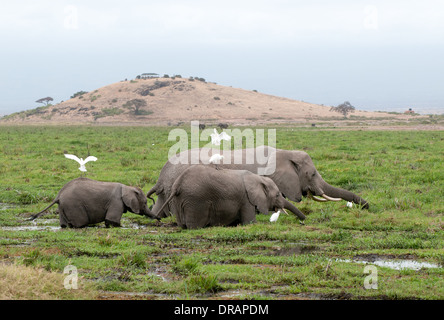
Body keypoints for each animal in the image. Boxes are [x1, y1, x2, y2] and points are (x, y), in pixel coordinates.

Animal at [156, 164, 306, 229]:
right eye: (277, 195)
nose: (303, 220)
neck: (257, 178)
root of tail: (178, 184)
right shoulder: (246, 200)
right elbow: (250, 222)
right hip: (195, 200)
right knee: (194, 226)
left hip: (178, 200)